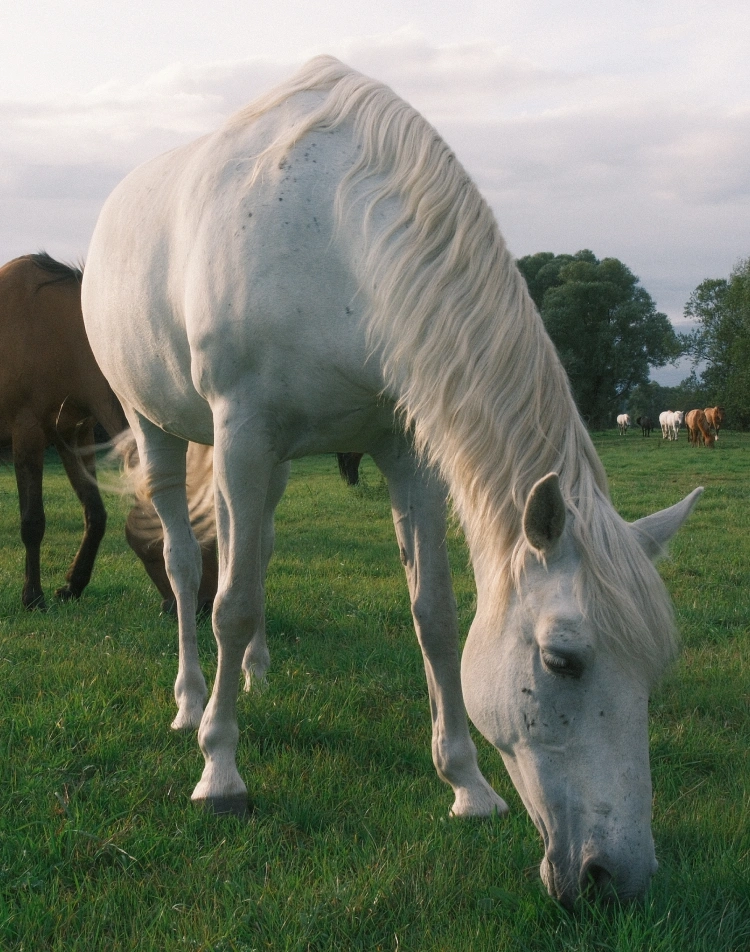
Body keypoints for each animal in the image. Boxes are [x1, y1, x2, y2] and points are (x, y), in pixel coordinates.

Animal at [82, 57, 702, 907]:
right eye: (561, 661)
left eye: (655, 670)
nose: (621, 877)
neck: (331, 236)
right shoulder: (243, 428)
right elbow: (229, 605)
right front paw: (221, 772)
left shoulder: (404, 448)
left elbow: (433, 614)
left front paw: (467, 786)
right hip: (162, 430)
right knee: (185, 565)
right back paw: (189, 702)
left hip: (270, 465)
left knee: (253, 543)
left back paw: (255, 674)